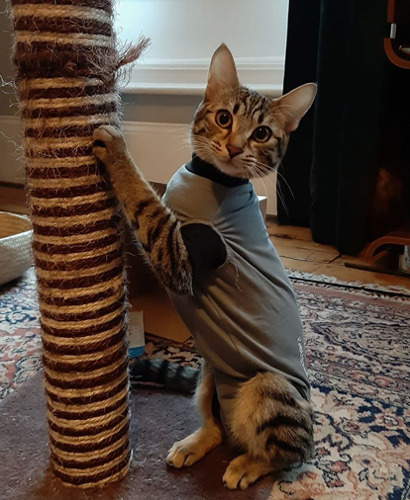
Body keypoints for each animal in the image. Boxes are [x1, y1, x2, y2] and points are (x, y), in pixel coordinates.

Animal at [93, 43, 318, 488]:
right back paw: (195, 443)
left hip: (270, 386)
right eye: (224, 117)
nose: (234, 147)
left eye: (262, 133)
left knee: (289, 452)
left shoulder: (183, 252)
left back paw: (248, 466)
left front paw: (118, 152)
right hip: (210, 372)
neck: (210, 176)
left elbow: (145, 201)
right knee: (219, 427)